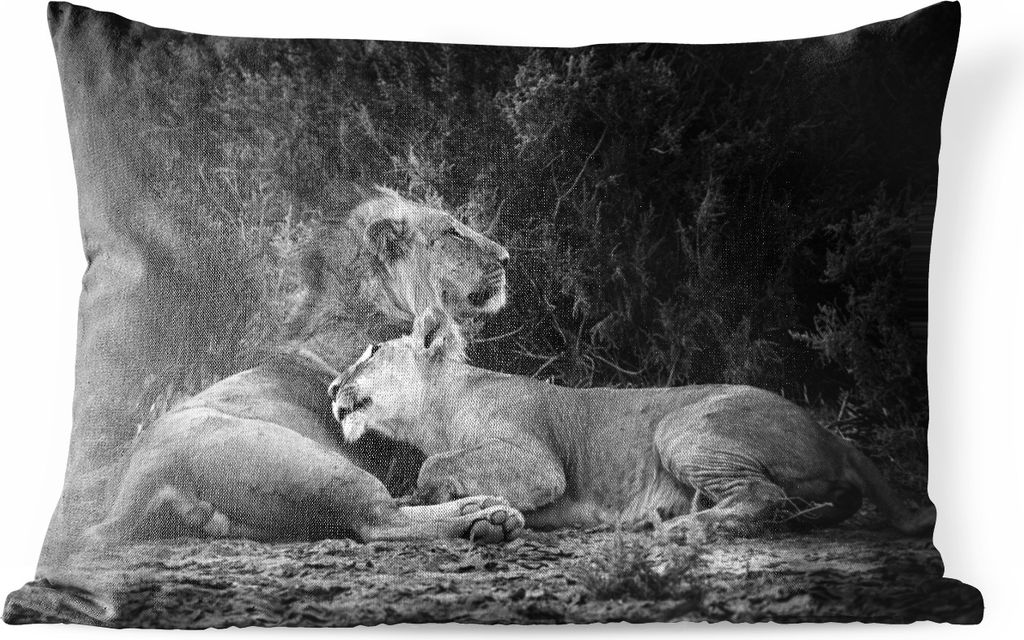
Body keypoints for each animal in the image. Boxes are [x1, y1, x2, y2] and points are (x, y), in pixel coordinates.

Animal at [86, 189, 523, 546]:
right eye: (453, 233)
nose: (506, 258)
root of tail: (139, 484)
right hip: (317, 462)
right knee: (380, 519)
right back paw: (488, 517)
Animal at [329, 309, 936, 538]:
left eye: (371, 351)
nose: (332, 388)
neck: (439, 410)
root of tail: (830, 432)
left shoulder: (539, 464)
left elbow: (435, 464)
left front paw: (437, 495)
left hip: (682, 428)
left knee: (763, 495)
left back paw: (680, 526)